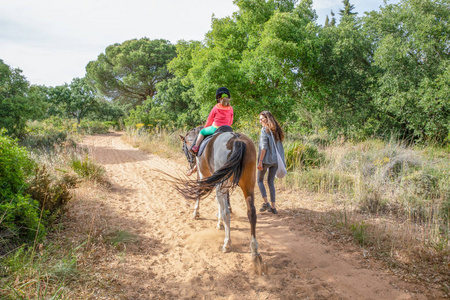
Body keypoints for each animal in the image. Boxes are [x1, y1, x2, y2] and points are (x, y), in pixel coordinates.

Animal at [178, 125, 262, 268]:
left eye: (184, 149)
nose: (190, 164)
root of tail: (237, 140)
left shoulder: (202, 175)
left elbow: (201, 195)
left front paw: (196, 213)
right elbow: (221, 203)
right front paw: (219, 222)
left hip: (223, 183)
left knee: (226, 212)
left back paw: (227, 243)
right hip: (249, 185)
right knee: (251, 213)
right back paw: (254, 250)